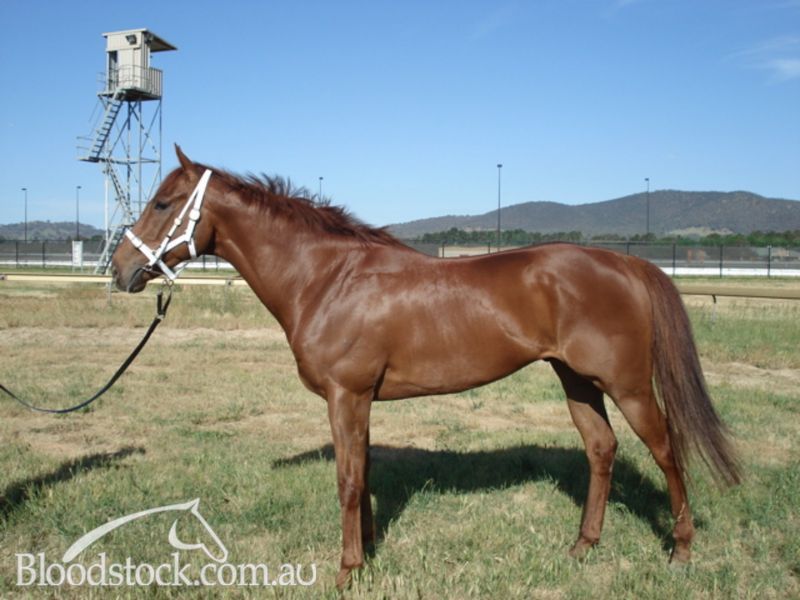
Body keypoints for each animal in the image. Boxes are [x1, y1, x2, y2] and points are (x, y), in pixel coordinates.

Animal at [111, 147, 740, 588]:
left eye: (162, 204)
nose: (119, 270)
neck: (328, 279)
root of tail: (625, 263)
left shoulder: (347, 395)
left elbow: (347, 481)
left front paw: (346, 572)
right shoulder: (359, 401)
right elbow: (363, 475)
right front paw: (365, 556)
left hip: (627, 386)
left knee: (666, 451)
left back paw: (681, 550)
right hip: (577, 382)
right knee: (602, 449)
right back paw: (582, 546)